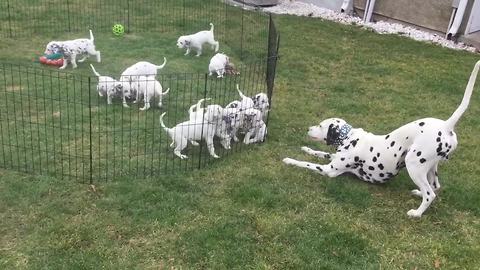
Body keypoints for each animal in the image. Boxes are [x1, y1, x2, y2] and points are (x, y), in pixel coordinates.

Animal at [282, 60, 480, 218]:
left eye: (321, 125)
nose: (309, 128)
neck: (349, 138)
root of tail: (447, 125)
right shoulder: (333, 157)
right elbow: (318, 152)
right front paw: (306, 149)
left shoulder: (328, 170)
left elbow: (305, 163)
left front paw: (289, 160)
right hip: (430, 167)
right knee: (435, 187)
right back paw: (418, 193)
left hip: (414, 164)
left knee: (430, 194)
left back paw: (416, 213)